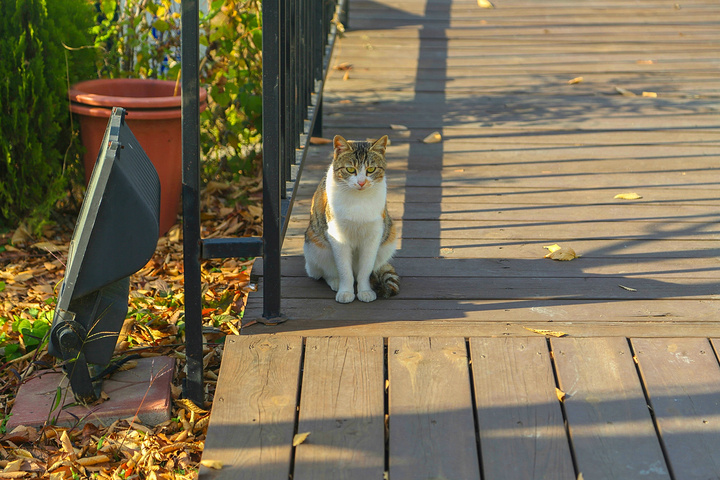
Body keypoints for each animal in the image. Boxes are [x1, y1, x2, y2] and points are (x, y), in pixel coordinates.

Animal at [306, 133, 402, 302]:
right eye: (350, 169)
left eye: (371, 169)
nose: (361, 182)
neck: (358, 200)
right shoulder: (338, 236)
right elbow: (344, 269)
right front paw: (345, 291)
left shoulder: (373, 236)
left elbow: (365, 269)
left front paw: (365, 291)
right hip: (316, 247)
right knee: (322, 272)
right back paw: (335, 281)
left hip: (389, 240)